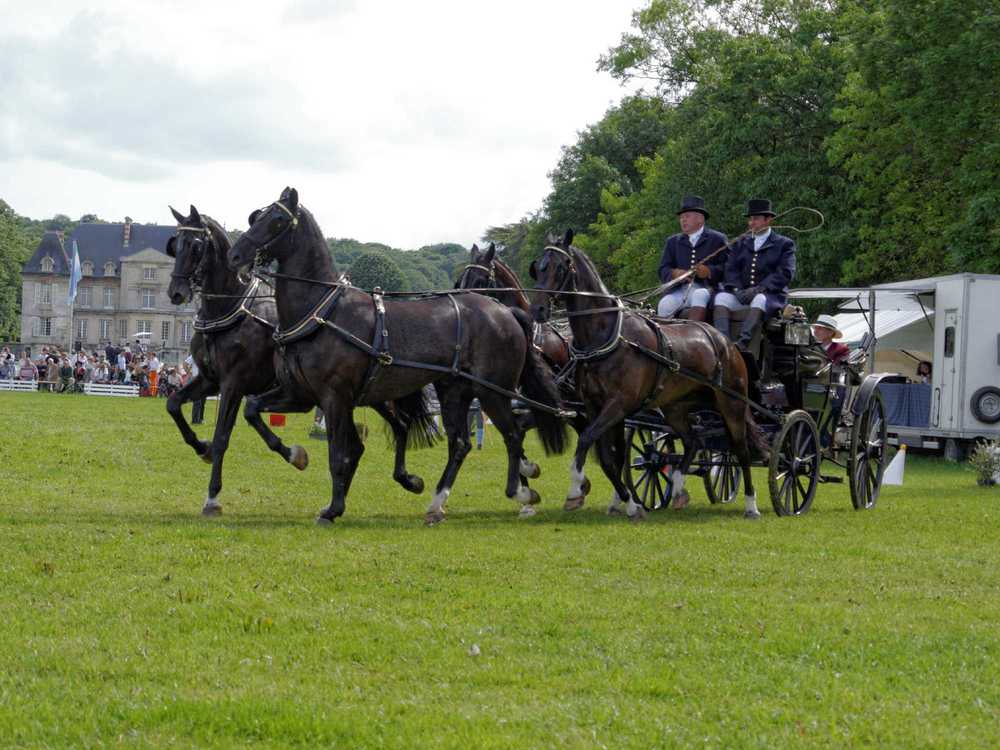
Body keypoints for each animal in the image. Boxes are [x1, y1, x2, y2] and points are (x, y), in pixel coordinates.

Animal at [165, 205, 428, 515]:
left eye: (196, 245)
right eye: (175, 244)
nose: (176, 292)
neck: (231, 309)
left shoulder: (234, 384)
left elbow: (222, 437)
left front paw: (213, 496)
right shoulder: (210, 380)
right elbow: (173, 405)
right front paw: (200, 446)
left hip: (373, 393)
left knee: (399, 426)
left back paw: (404, 480)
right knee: (372, 439)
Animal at [226, 187, 567, 525]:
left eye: (277, 220)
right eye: (257, 216)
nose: (235, 256)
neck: (322, 310)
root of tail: (504, 312)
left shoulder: (334, 398)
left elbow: (338, 455)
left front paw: (333, 508)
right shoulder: (301, 395)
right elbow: (253, 410)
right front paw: (296, 456)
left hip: (493, 392)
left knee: (512, 434)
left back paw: (521, 490)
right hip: (453, 391)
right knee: (460, 443)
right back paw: (437, 502)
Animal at [529, 230, 766, 520]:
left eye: (561, 266)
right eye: (539, 267)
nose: (537, 310)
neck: (607, 337)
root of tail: (726, 342)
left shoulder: (619, 405)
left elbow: (587, 441)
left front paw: (577, 491)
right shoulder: (596, 407)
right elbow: (609, 457)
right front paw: (627, 502)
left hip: (732, 404)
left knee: (741, 450)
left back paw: (751, 505)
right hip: (676, 408)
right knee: (693, 441)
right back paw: (678, 489)